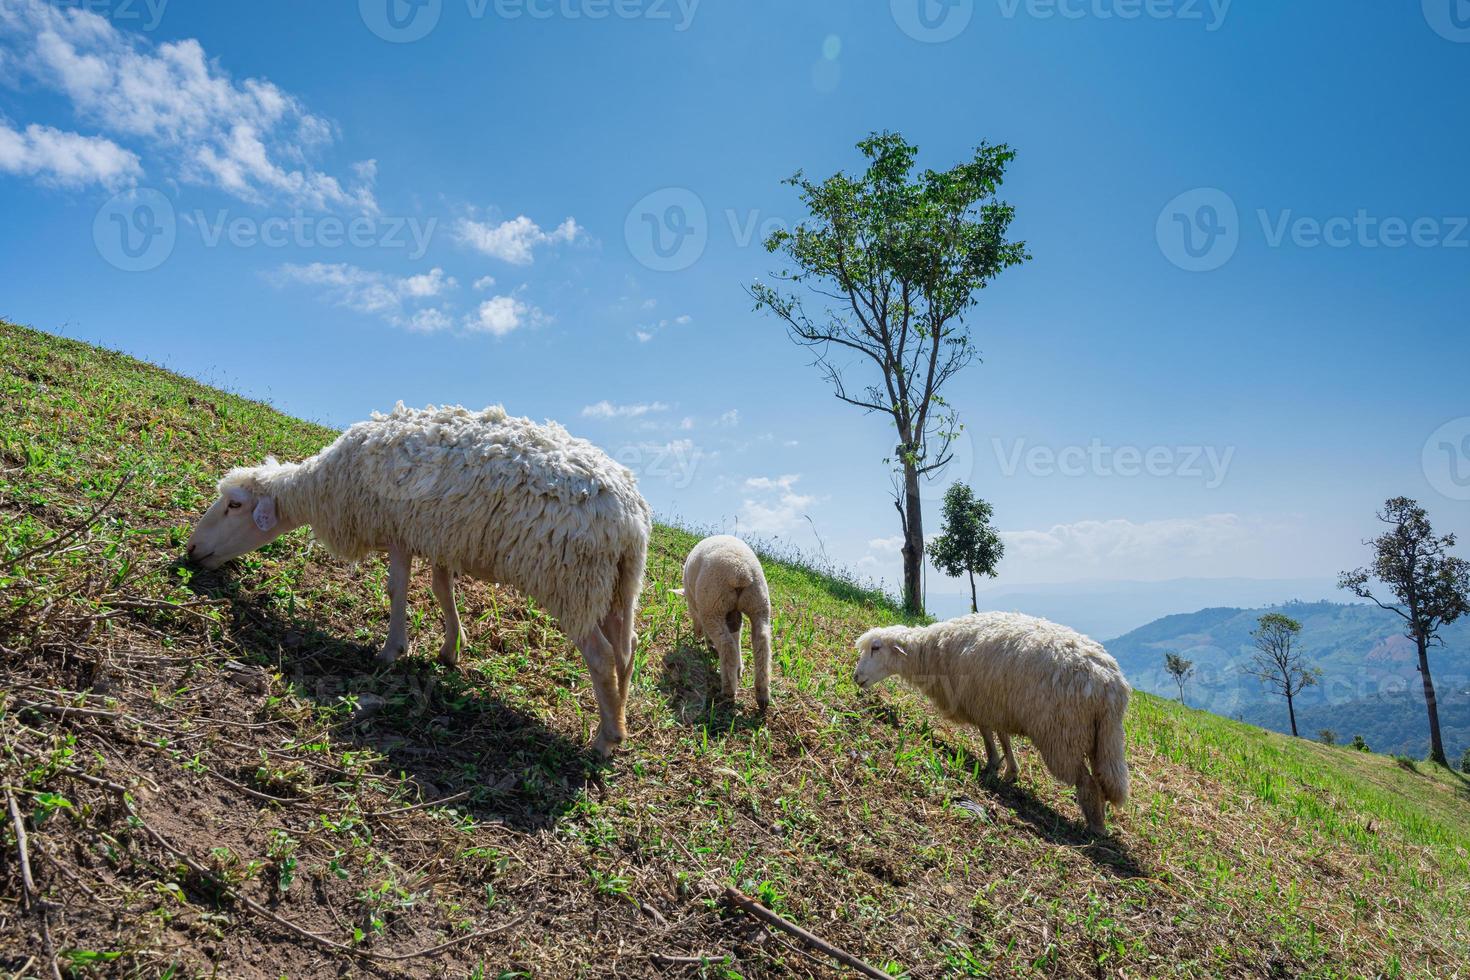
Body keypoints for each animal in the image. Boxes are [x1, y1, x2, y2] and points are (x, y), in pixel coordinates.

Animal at [183, 402, 649, 758]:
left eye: (234, 505)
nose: (191, 551)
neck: (326, 488)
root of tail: (631, 517)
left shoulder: (399, 530)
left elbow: (398, 589)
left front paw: (391, 651)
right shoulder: (439, 537)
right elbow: (441, 591)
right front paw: (450, 649)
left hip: (572, 581)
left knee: (602, 657)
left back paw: (604, 741)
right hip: (618, 585)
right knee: (627, 650)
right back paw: (619, 723)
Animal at [673, 531, 776, 708]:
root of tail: (740, 572)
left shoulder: (697, 605)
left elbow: (703, 624)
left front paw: (705, 641)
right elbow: (736, 634)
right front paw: (738, 667)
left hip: (713, 605)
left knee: (726, 645)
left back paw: (728, 690)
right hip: (759, 603)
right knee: (762, 642)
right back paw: (762, 694)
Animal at [858, 617, 1128, 834]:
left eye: (876, 648)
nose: (855, 677)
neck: (930, 653)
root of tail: (1111, 686)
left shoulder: (978, 701)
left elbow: (987, 734)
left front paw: (992, 764)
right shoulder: (995, 705)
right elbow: (1002, 734)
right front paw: (1010, 770)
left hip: (1063, 735)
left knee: (1086, 781)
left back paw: (1096, 827)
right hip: (1101, 737)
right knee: (1102, 779)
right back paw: (1101, 814)